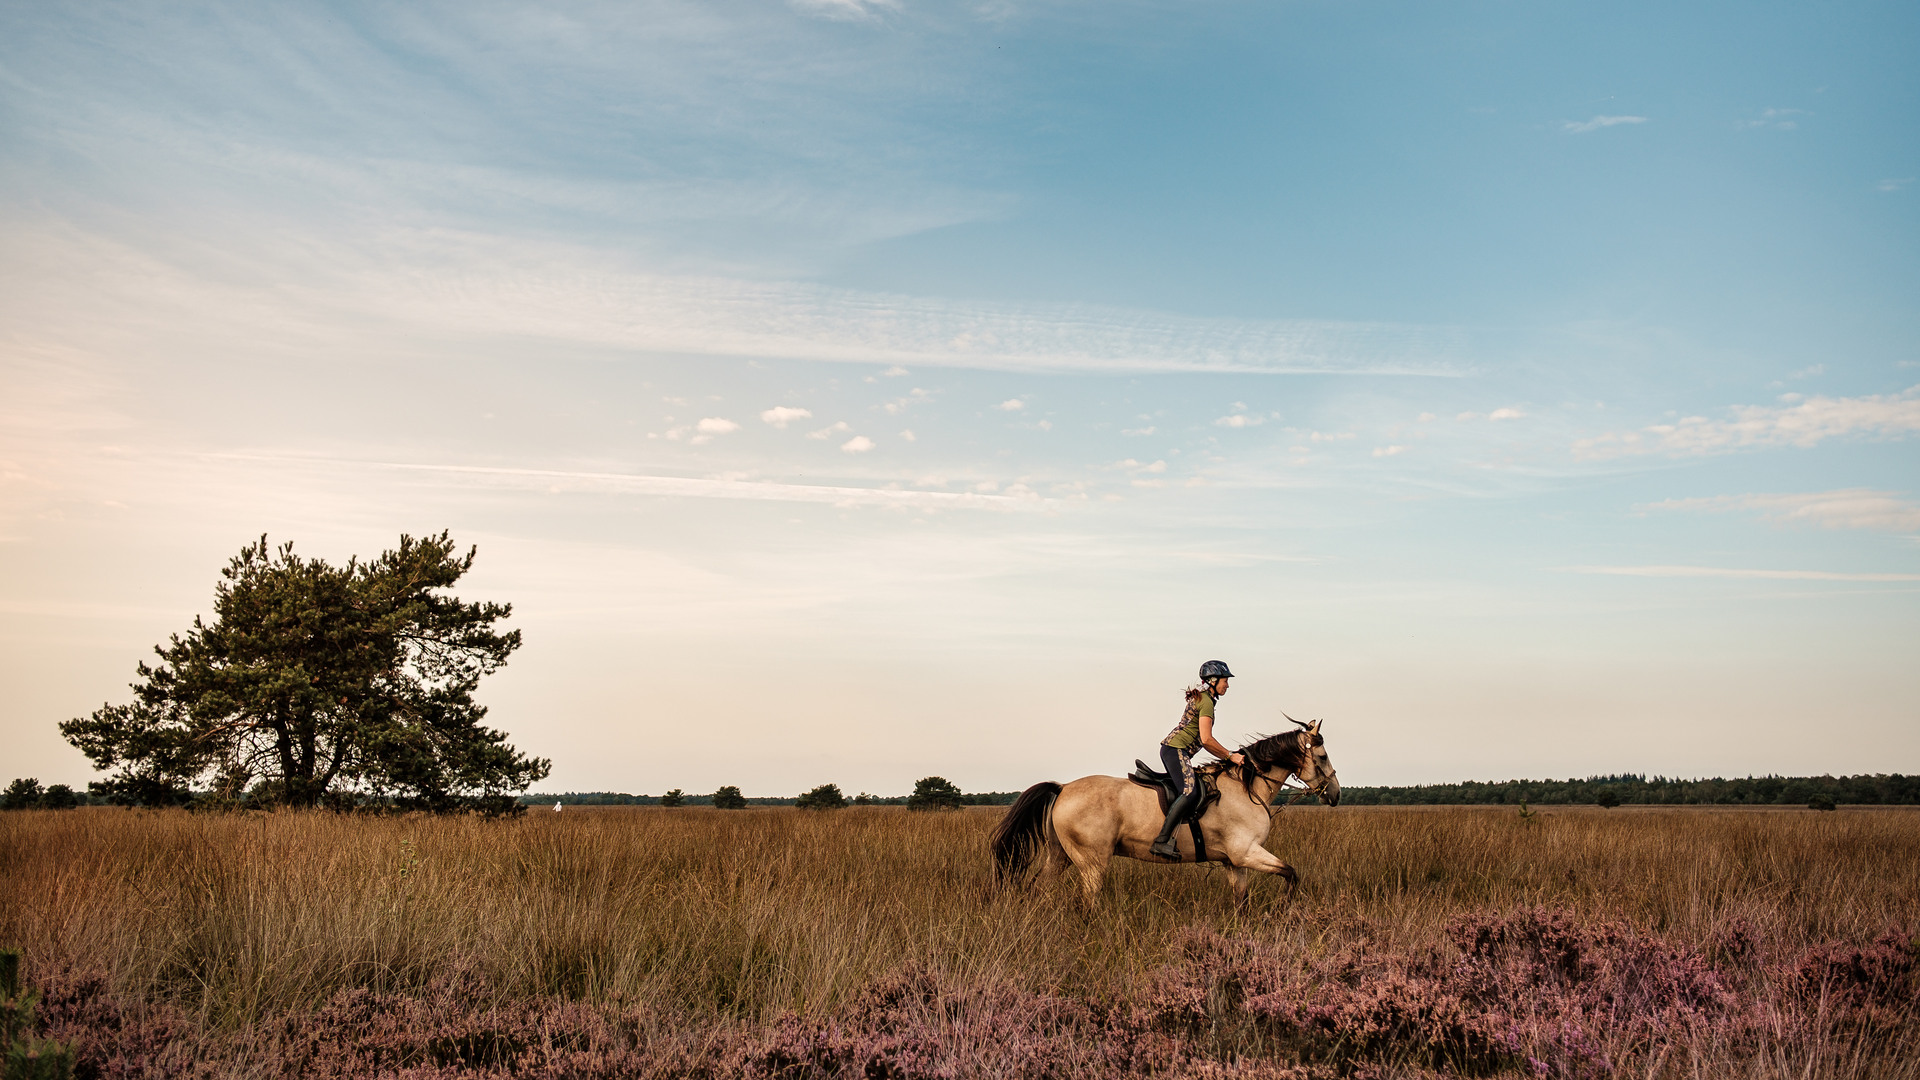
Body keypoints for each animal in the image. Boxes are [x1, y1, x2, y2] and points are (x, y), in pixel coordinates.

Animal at [990, 714, 1336, 907]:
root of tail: (1062, 788)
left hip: (1060, 855)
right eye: (1322, 756)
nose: (1333, 794)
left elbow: (1243, 902)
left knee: (1037, 889)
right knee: (1085, 903)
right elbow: (1291, 873)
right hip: (1092, 863)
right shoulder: (1247, 852)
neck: (1247, 789)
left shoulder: (1234, 862)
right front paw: (1283, 909)